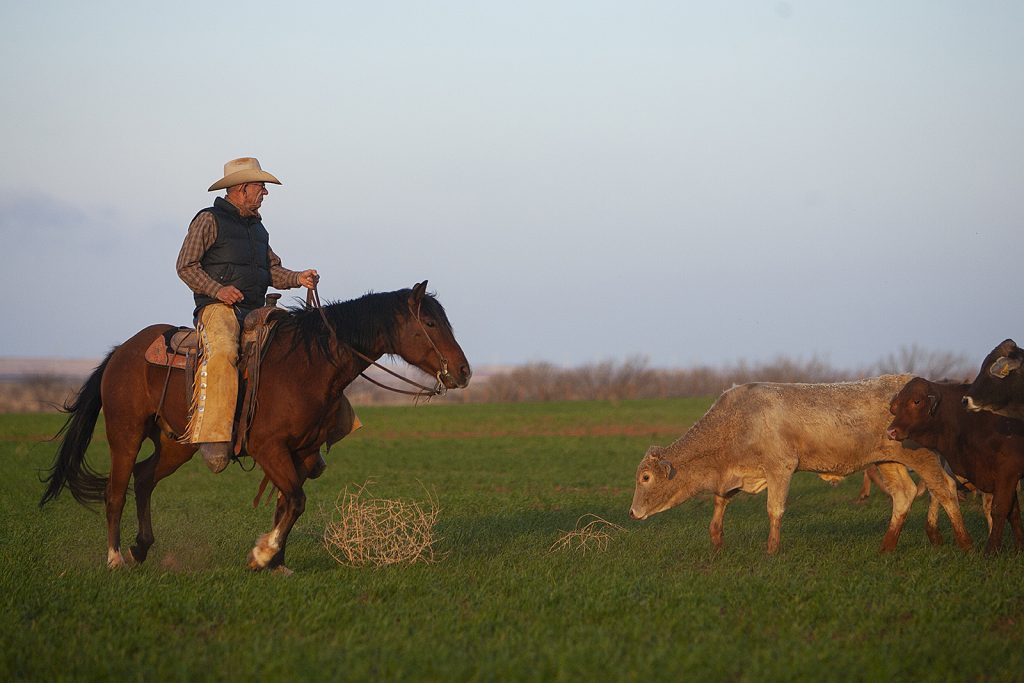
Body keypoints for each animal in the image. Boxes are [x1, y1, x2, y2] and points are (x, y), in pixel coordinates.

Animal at [629, 375, 972, 554]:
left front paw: (771, 550)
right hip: (888, 461)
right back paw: (887, 546)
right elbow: (720, 502)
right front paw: (716, 540)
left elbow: (774, 509)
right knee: (904, 494)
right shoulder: (736, 474)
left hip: (922, 457)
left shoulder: (779, 468)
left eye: (645, 478)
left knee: (944, 489)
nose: (632, 512)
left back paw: (963, 542)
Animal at [887, 377, 1024, 554]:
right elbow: (1014, 513)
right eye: (896, 405)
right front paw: (1020, 547)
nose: (891, 431)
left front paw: (991, 550)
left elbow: (1000, 509)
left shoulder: (1008, 472)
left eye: (916, 401)